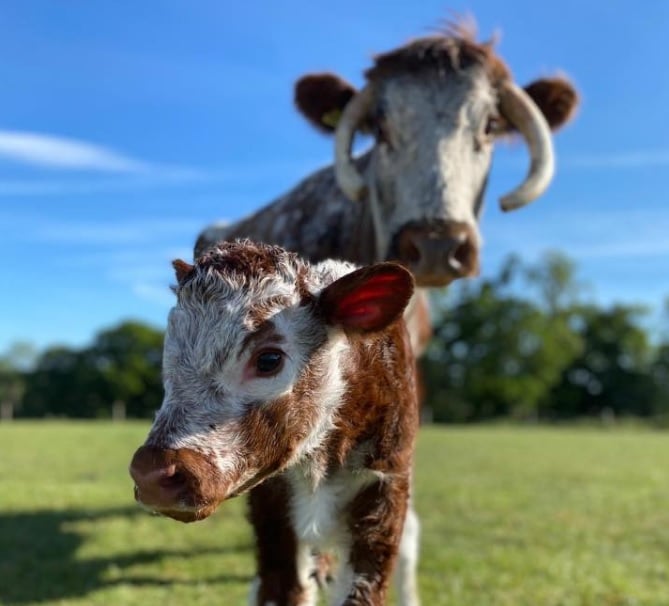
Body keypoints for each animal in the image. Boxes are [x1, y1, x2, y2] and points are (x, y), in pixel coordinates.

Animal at [129, 240, 420, 606]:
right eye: (170, 357)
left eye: (268, 359)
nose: (151, 473)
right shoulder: (271, 508)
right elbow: (284, 587)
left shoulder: (386, 486)